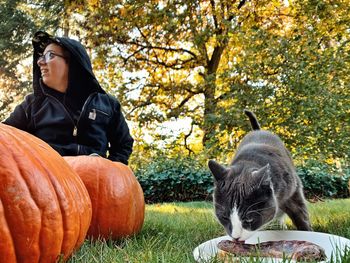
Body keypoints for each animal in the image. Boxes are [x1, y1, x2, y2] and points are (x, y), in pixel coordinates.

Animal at [208, 110, 312, 242]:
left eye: (249, 219)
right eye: (224, 217)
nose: (236, 238)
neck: (248, 163)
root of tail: (257, 130)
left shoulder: (292, 191)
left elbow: (300, 214)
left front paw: (308, 232)